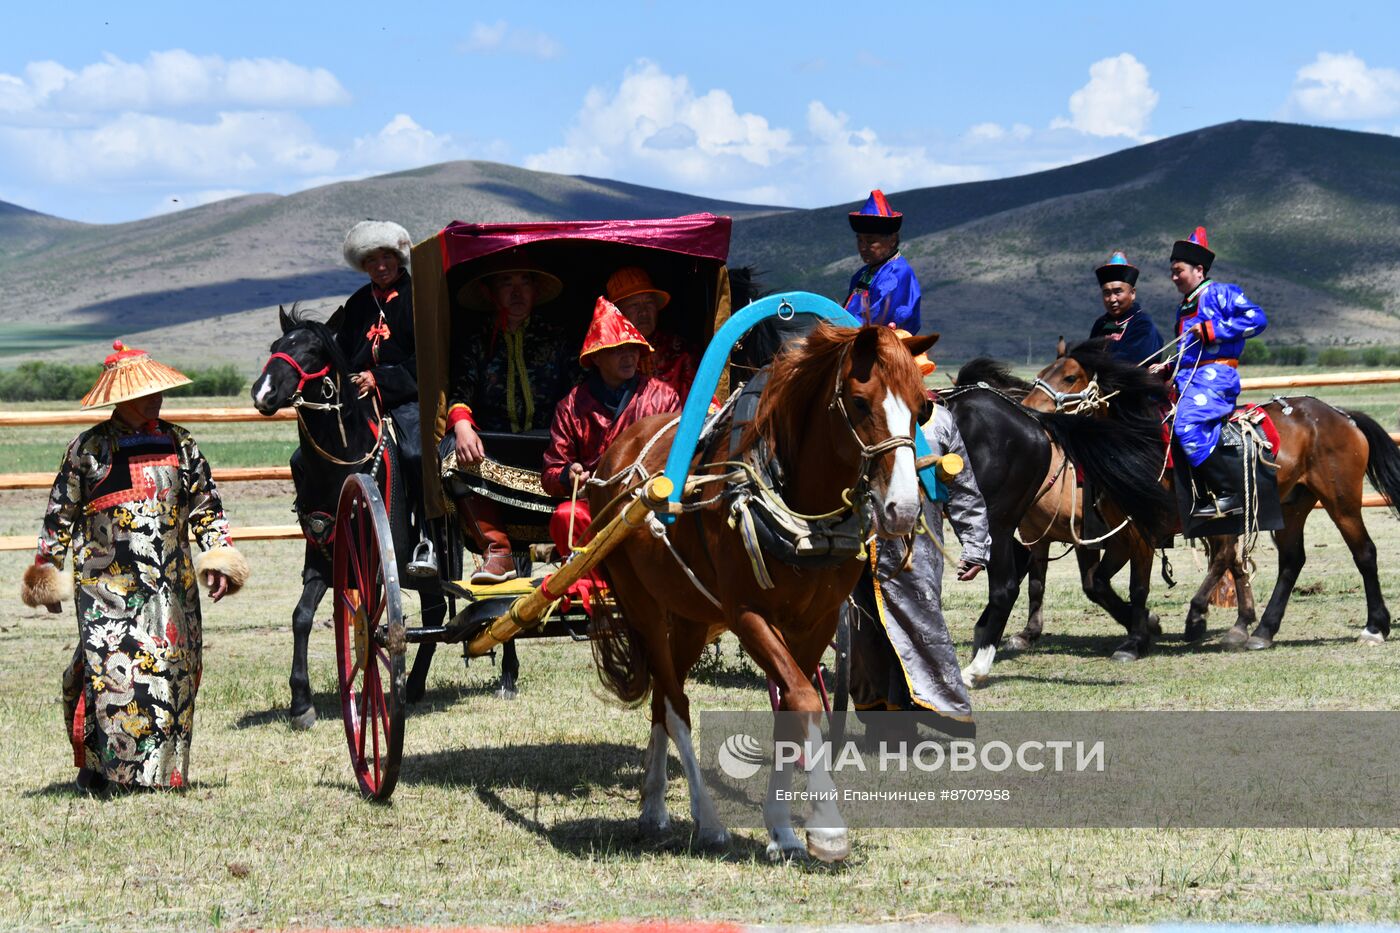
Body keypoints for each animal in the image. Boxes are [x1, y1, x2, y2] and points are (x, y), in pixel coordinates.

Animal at [252, 306, 445, 728]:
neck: (340, 467)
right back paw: (415, 686)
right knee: (437, 610)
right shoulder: (322, 556)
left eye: (313, 352)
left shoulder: (376, 561)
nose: (262, 392)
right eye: (275, 346)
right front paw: (301, 703)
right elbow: (302, 616)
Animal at [588, 323, 929, 862]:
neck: (802, 518)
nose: (903, 509)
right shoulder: (748, 616)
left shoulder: (816, 623)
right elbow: (805, 699)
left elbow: (789, 707)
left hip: (691, 617)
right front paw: (826, 827)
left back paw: (654, 807)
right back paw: (707, 820)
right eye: (859, 402)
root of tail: (618, 449)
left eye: (923, 407)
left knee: (662, 697)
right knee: (676, 704)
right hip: (643, 607)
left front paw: (782, 829)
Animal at [1019, 344, 1400, 650]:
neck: (1137, 447)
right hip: (1292, 506)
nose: (1027, 409)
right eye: (1040, 374)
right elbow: (1098, 583)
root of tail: (1343, 415)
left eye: (1069, 377)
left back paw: (1374, 627)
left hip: (1341, 501)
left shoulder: (1144, 531)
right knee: (1290, 561)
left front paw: (1141, 637)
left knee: (1364, 553)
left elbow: (1139, 586)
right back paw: (1262, 631)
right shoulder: (1121, 534)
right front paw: (1145, 627)